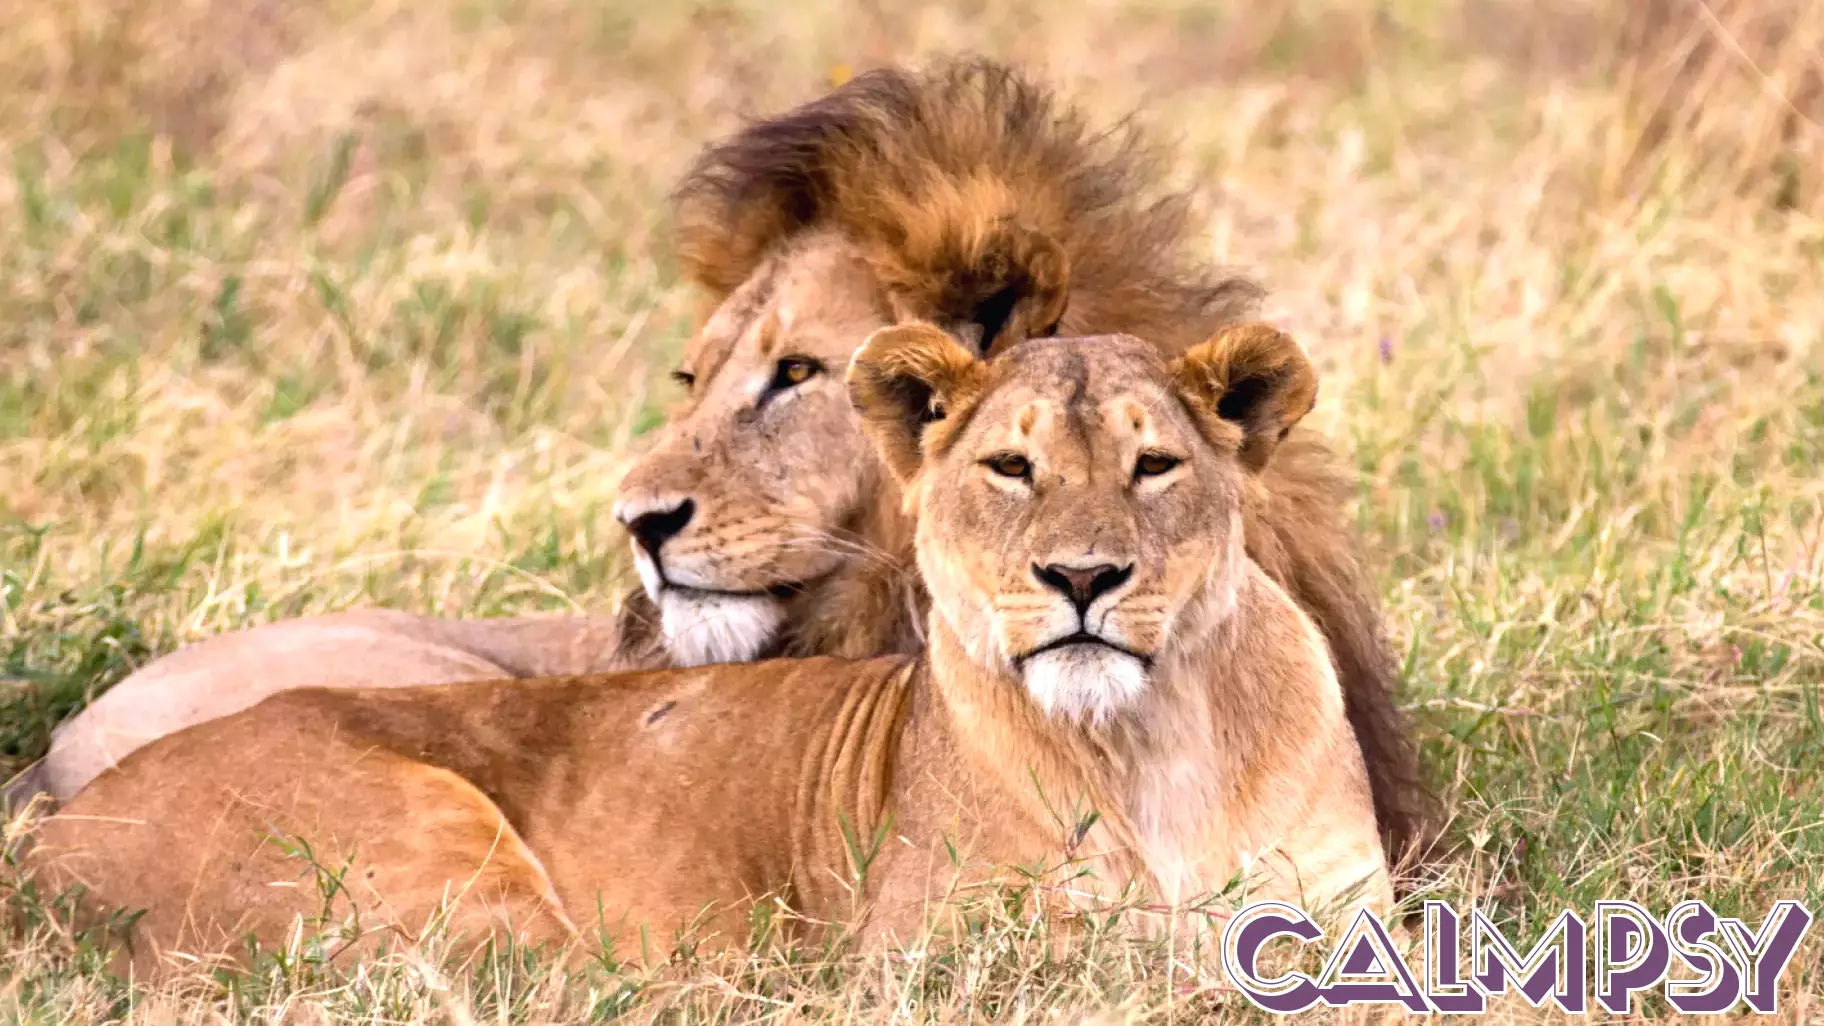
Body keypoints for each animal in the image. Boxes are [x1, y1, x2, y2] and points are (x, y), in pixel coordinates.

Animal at [26, 323, 1391, 977]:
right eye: (1012, 468)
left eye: (1154, 466)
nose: (1084, 579)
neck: (1156, 738)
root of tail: (53, 823)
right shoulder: (945, 962)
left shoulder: (1349, 918)